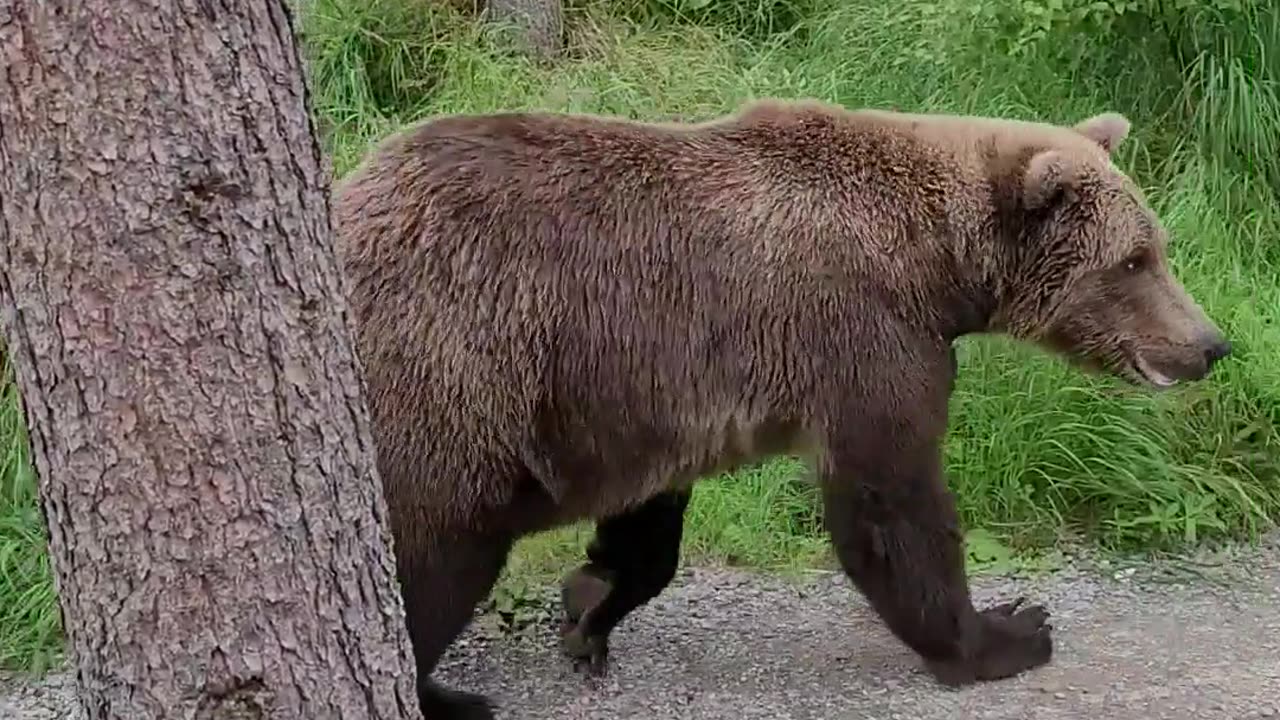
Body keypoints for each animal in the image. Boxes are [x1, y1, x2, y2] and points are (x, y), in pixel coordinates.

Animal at [330, 96, 1228, 717]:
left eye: (1157, 246)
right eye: (1134, 260)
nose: (1210, 343)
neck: (932, 263)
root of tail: (346, 199)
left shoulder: (653, 387)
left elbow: (649, 521)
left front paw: (590, 607)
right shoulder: (862, 339)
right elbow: (891, 503)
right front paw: (1006, 631)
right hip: (450, 380)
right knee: (432, 556)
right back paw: (449, 695)